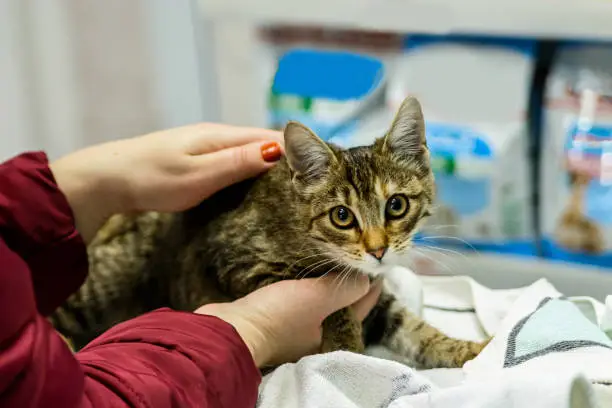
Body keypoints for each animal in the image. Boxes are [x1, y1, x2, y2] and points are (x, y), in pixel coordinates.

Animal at [50, 96, 486, 370]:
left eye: (396, 205)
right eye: (341, 216)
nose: (378, 251)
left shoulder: (380, 303)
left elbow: (416, 330)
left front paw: (472, 350)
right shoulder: (236, 260)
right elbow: (329, 296)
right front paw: (345, 346)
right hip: (110, 277)